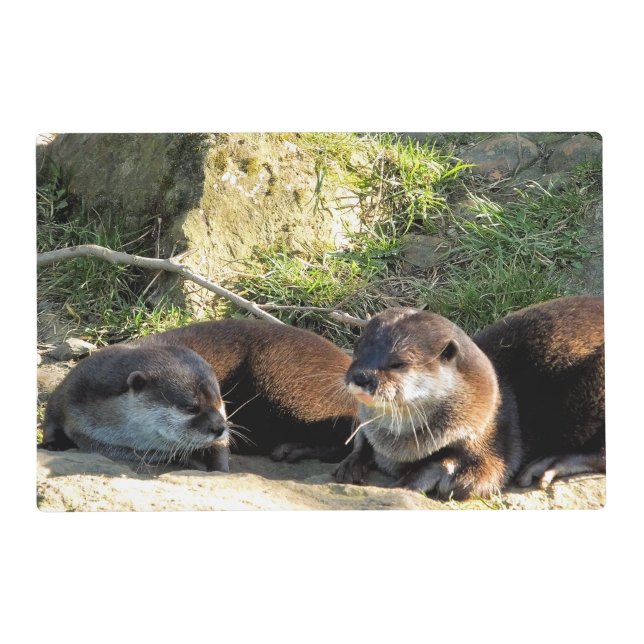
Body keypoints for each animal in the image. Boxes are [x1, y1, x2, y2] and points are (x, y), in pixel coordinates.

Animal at [41, 344, 230, 471]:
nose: (219, 427)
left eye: (219, 402)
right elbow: (50, 418)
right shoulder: (70, 389)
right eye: (190, 407)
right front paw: (52, 445)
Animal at [334, 296, 604, 500]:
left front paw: (419, 477)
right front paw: (351, 462)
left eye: (397, 363)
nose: (361, 376)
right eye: (357, 351)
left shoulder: (494, 436)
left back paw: (552, 463)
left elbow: (481, 477)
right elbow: (361, 439)